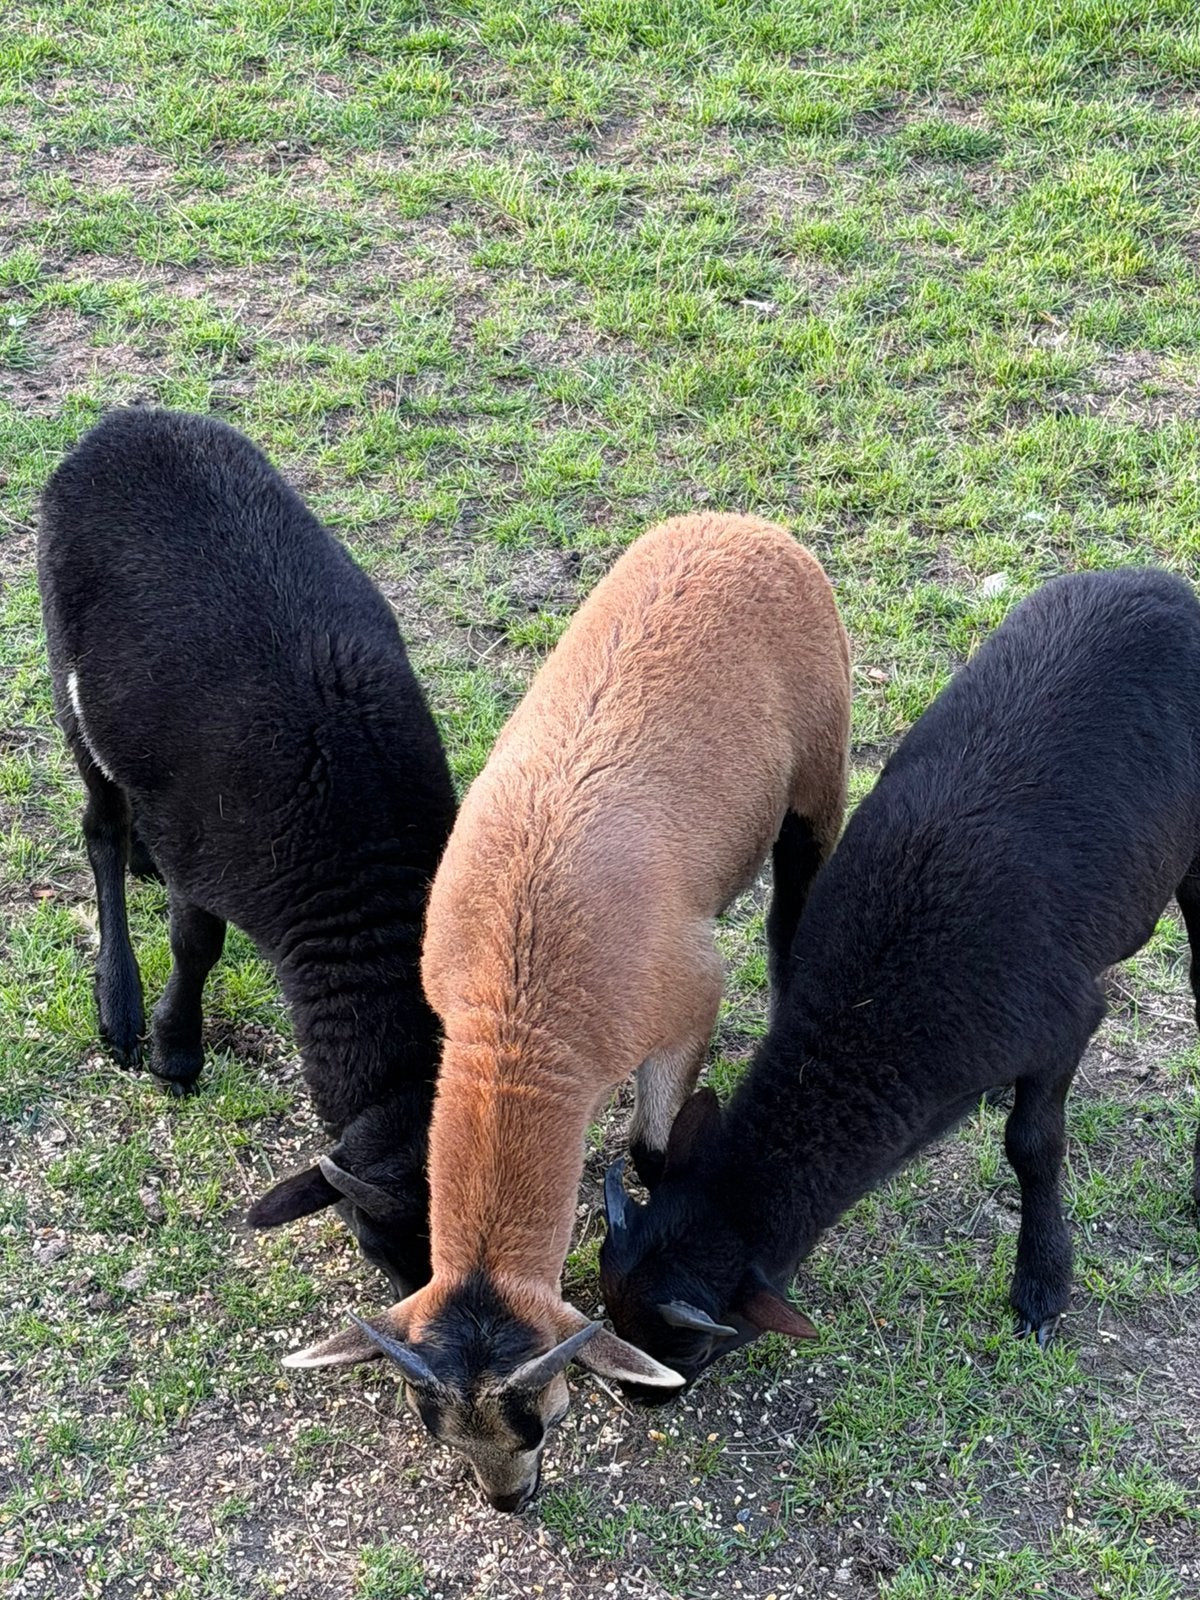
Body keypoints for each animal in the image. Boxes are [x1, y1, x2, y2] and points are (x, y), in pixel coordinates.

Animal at [38, 407, 457, 1297]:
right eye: (372, 1239)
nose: (423, 1312)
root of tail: (125, 418)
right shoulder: (207, 852)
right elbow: (195, 945)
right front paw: (174, 1052)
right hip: (64, 660)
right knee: (101, 825)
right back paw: (119, 1002)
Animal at [285, 512, 852, 1511]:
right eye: (434, 1429)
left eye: (543, 1415)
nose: (509, 1501)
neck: (520, 1016)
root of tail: (739, 525)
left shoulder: (688, 999)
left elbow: (653, 1150)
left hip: (823, 759)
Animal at [599, 566, 1200, 1395]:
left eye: (690, 1349)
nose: (641, 1405)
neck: (876, 1002)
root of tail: (1159, 581)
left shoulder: (1063, 1024)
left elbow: (1033, 1144)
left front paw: (1042, 1287)